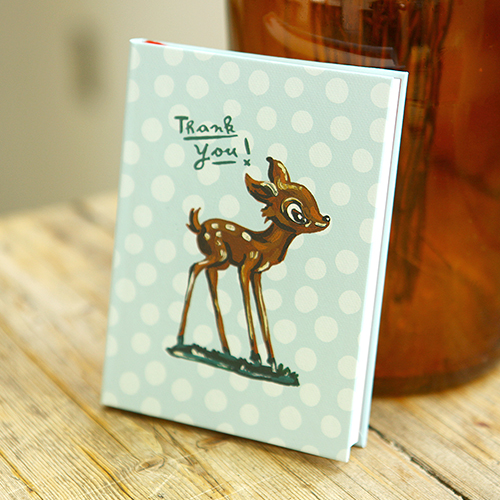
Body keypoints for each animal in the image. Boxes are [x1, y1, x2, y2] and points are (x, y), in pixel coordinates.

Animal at [176, 157, 330, 371]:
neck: (264, 244)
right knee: (195, 267)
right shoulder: (245, 267)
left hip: (222, 262)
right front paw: (256, 357)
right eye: (297, 214)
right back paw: (182, 340)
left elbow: (261, 307)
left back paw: (226, 350)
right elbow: (247, 301)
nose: (325, 220)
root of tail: (200, 226)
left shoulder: (257, 273)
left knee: (209, 275)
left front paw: (272, 361)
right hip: (218, 255)